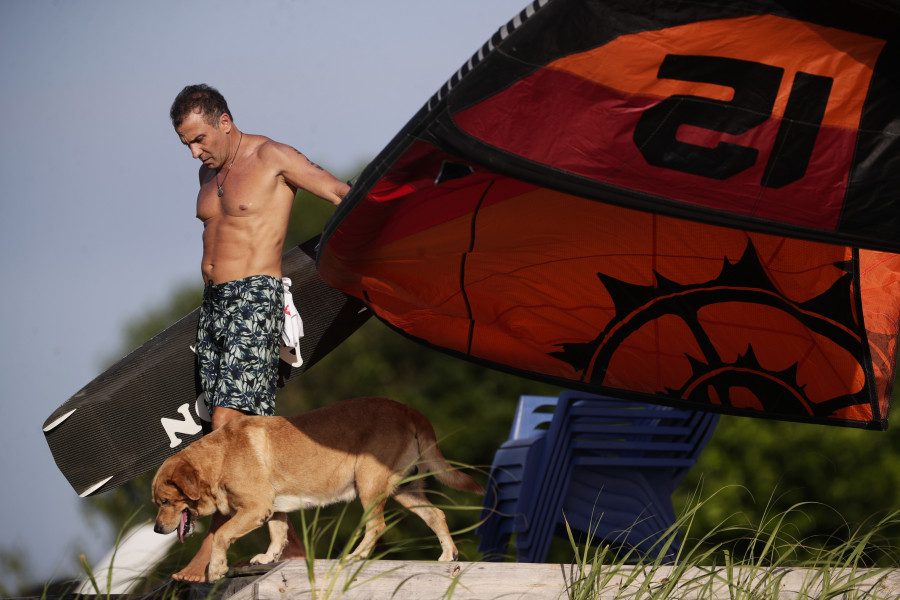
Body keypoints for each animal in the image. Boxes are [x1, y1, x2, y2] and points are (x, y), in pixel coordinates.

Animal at [153, 396, 486, 580]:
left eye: (165, 502)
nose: (156, 530)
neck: (217, 458)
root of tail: (408, 409)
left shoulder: (255, 507)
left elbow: (222, 534)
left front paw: (216, 569)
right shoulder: (273, 509)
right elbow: (278, 535)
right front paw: (268, 558)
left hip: (368, 482)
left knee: (376, 526)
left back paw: (355, 556)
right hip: (405, 491)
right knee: (436, 515)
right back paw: (448, 555)